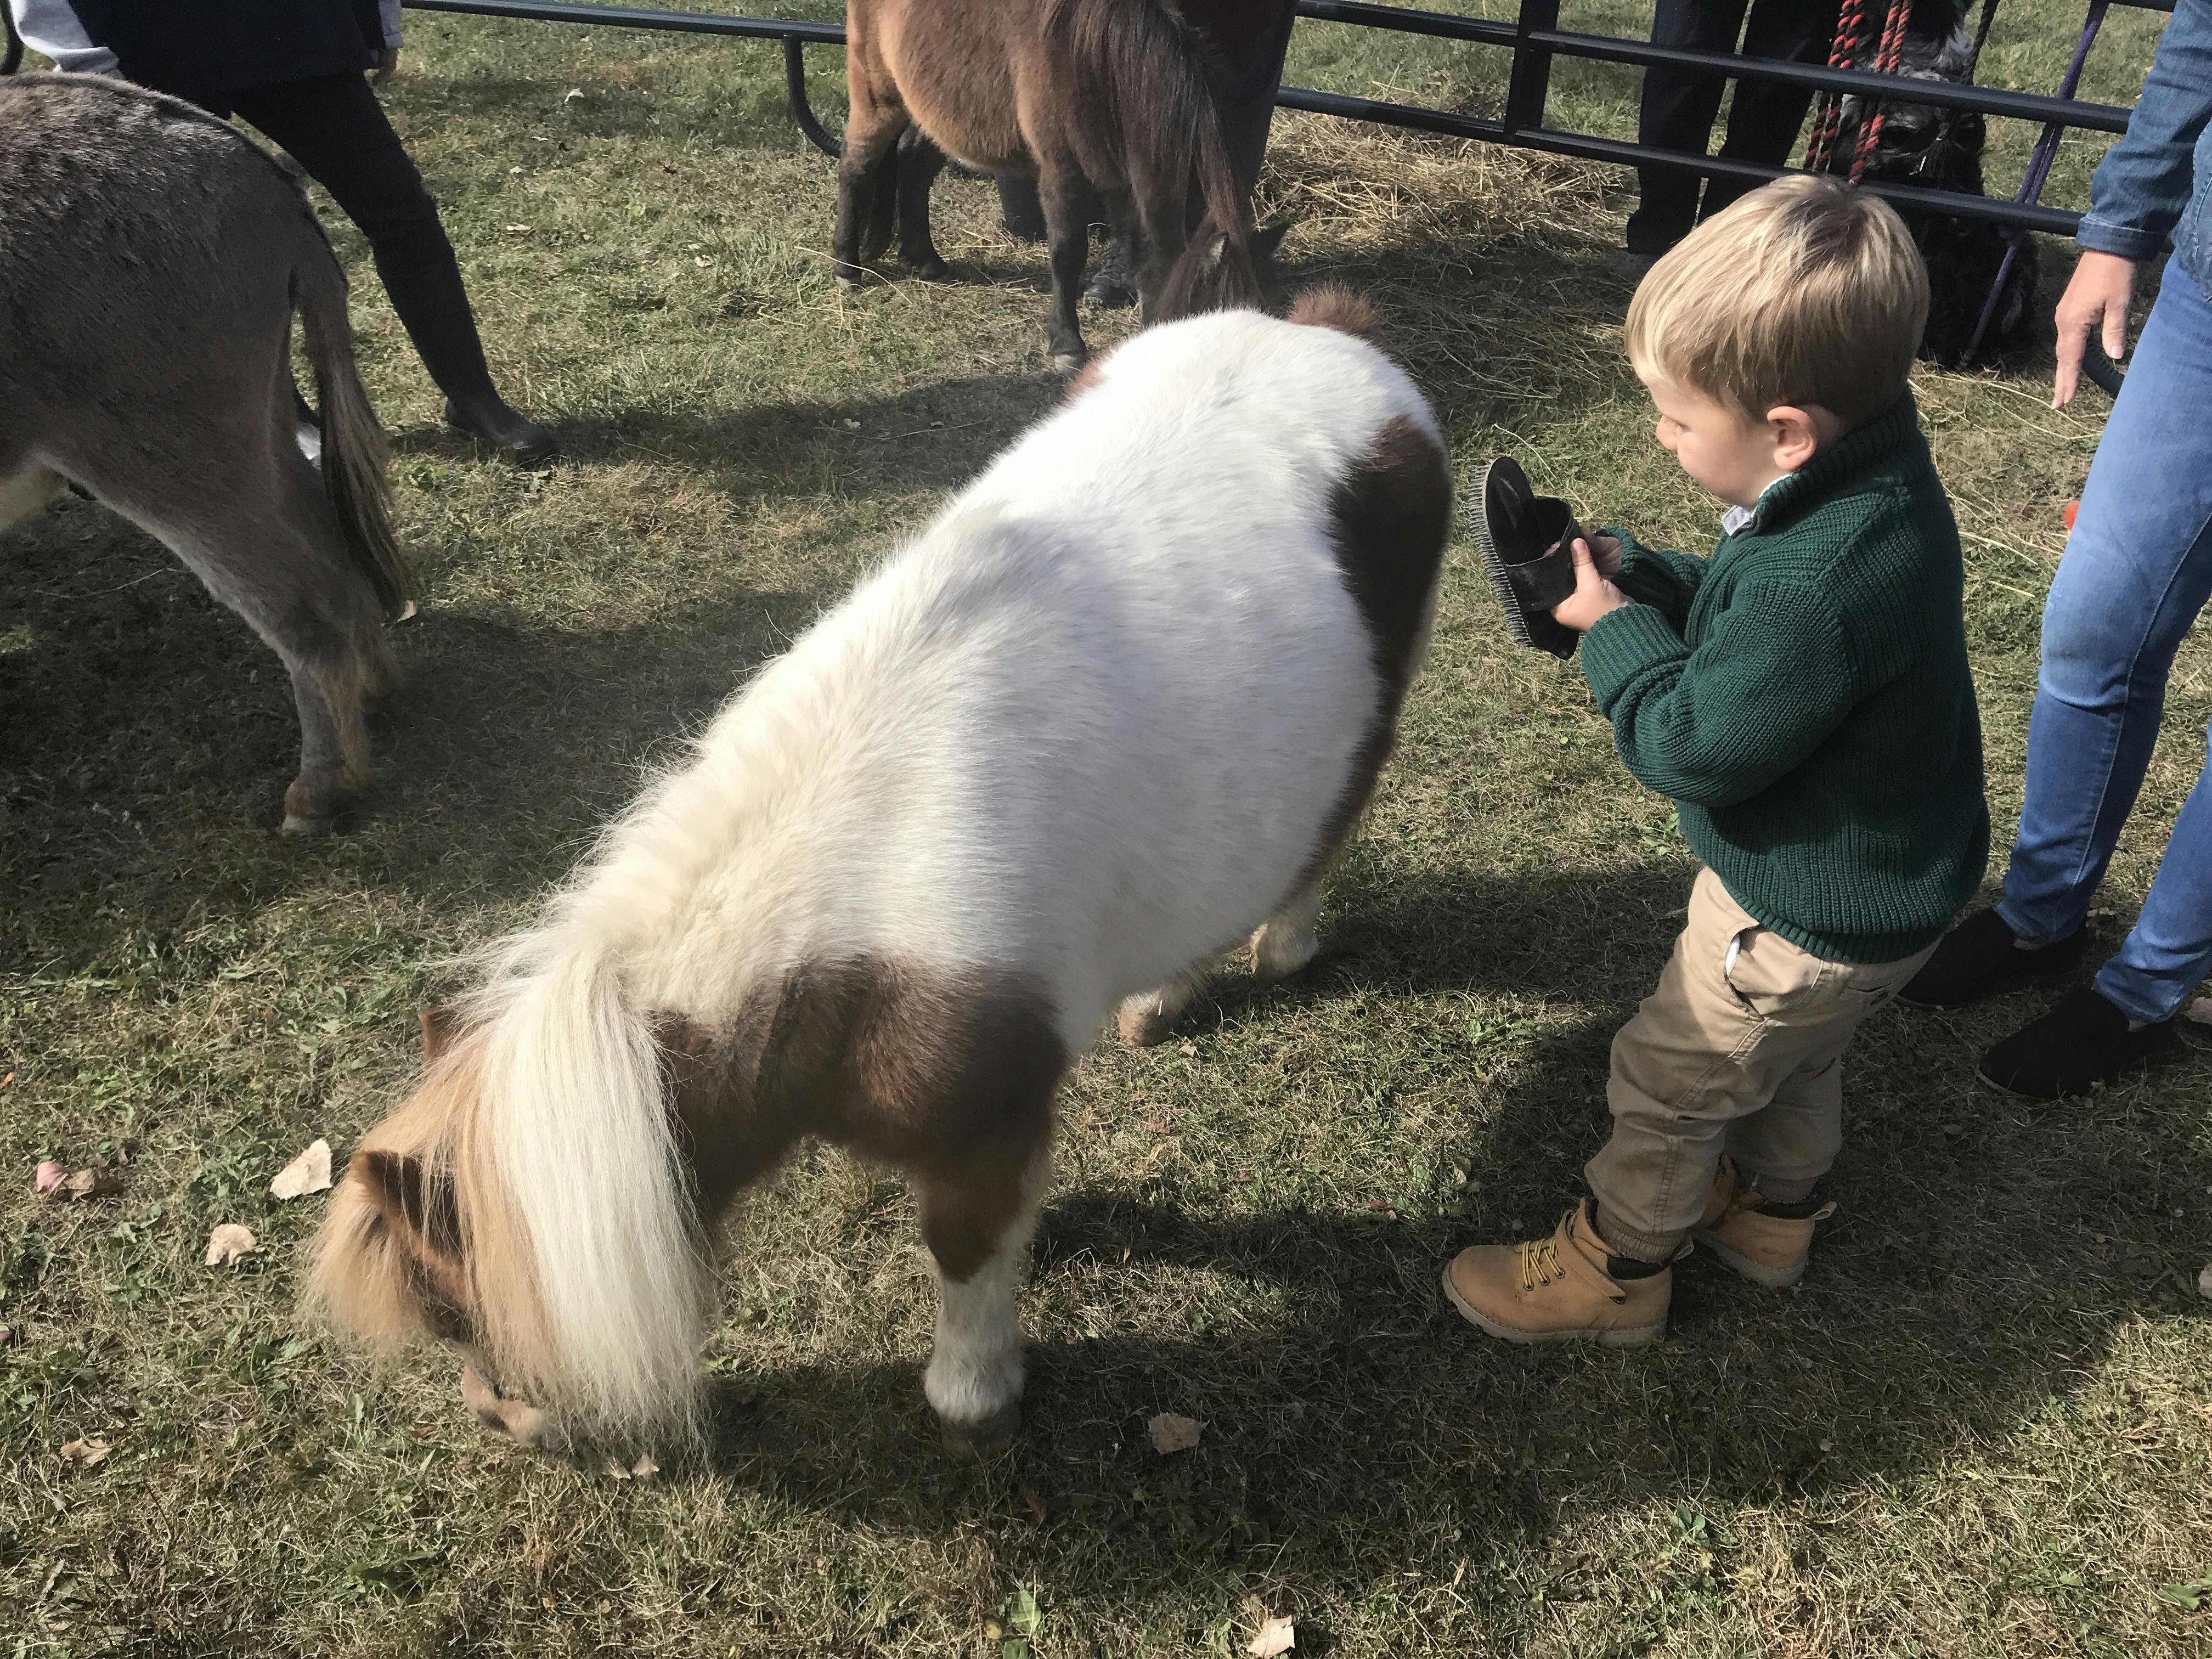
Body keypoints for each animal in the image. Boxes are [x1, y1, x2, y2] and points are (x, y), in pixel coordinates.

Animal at [312, 292, 1451, 1460]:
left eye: (457, 1300)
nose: (501, 1416)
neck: (850, 910)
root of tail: (1321, 331)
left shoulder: (978, 1123)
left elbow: (964, 1247)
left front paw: (973, 1391)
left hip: (1375, 707)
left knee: (1324, 829)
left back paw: (1281, 948)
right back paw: (1160, 995)